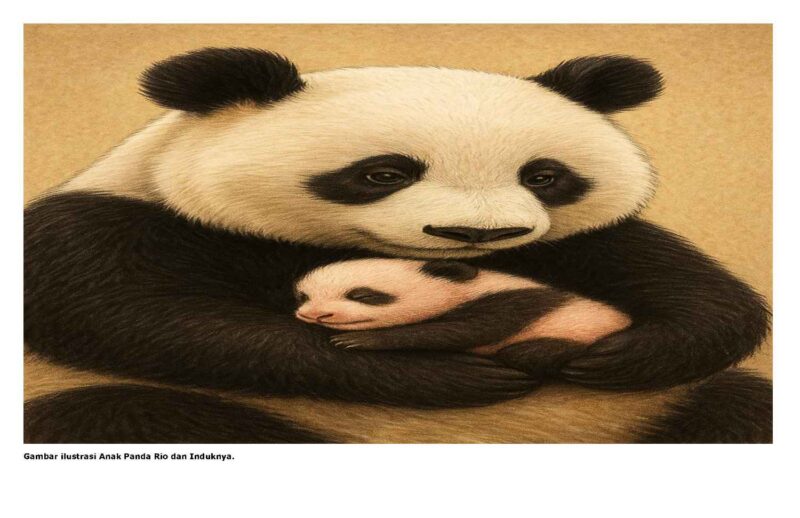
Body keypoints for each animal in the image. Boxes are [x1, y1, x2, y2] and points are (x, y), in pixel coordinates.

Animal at [23, 47, 772, 443]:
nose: (479, 234)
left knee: (733, 409)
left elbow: (696, 288)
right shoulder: (109, 227)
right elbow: (142, 318)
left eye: (544, 175)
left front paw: (623, 353)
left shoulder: (574, 246)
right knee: (121, 416)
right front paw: (447, 374)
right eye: (383, 173)